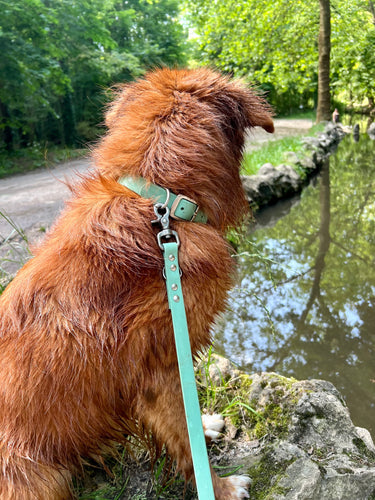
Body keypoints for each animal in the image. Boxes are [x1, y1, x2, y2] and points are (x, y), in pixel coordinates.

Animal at [0, 68, 274, 498]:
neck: (162, 204)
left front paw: (205, 425)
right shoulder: (160, 369)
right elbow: (183, 433)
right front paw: (221, 487)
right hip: (30, 474)